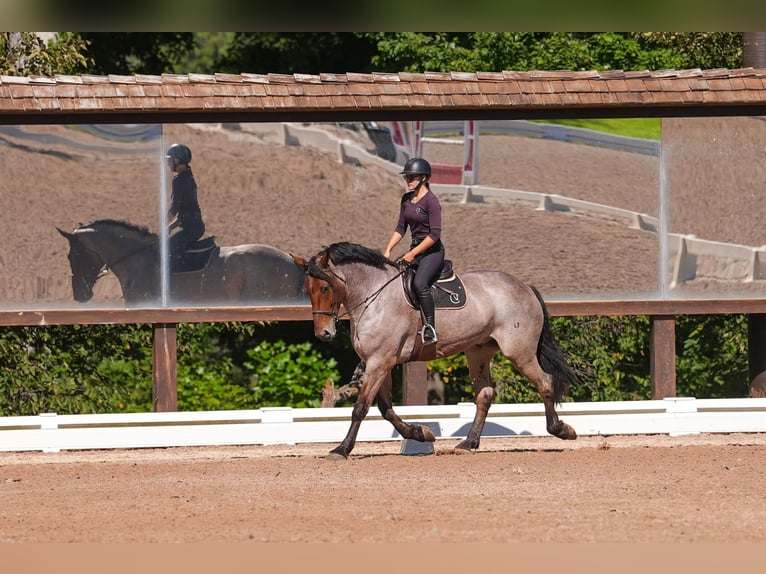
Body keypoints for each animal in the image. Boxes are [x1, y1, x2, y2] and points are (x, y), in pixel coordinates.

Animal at [294, 241, 578, 460]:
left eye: (325, 288)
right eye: (307, 290)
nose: (323, 334)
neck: (373, 297)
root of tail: (525, 286)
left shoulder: (379, 362)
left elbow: (361, 408)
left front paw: (341, 449)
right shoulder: (379, 363)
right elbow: (386, 409)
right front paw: (420, 433)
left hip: (519, 353)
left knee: (545, 383)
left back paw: (562, 429)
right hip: (478, 351)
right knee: (485, 394)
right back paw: (468, 443)